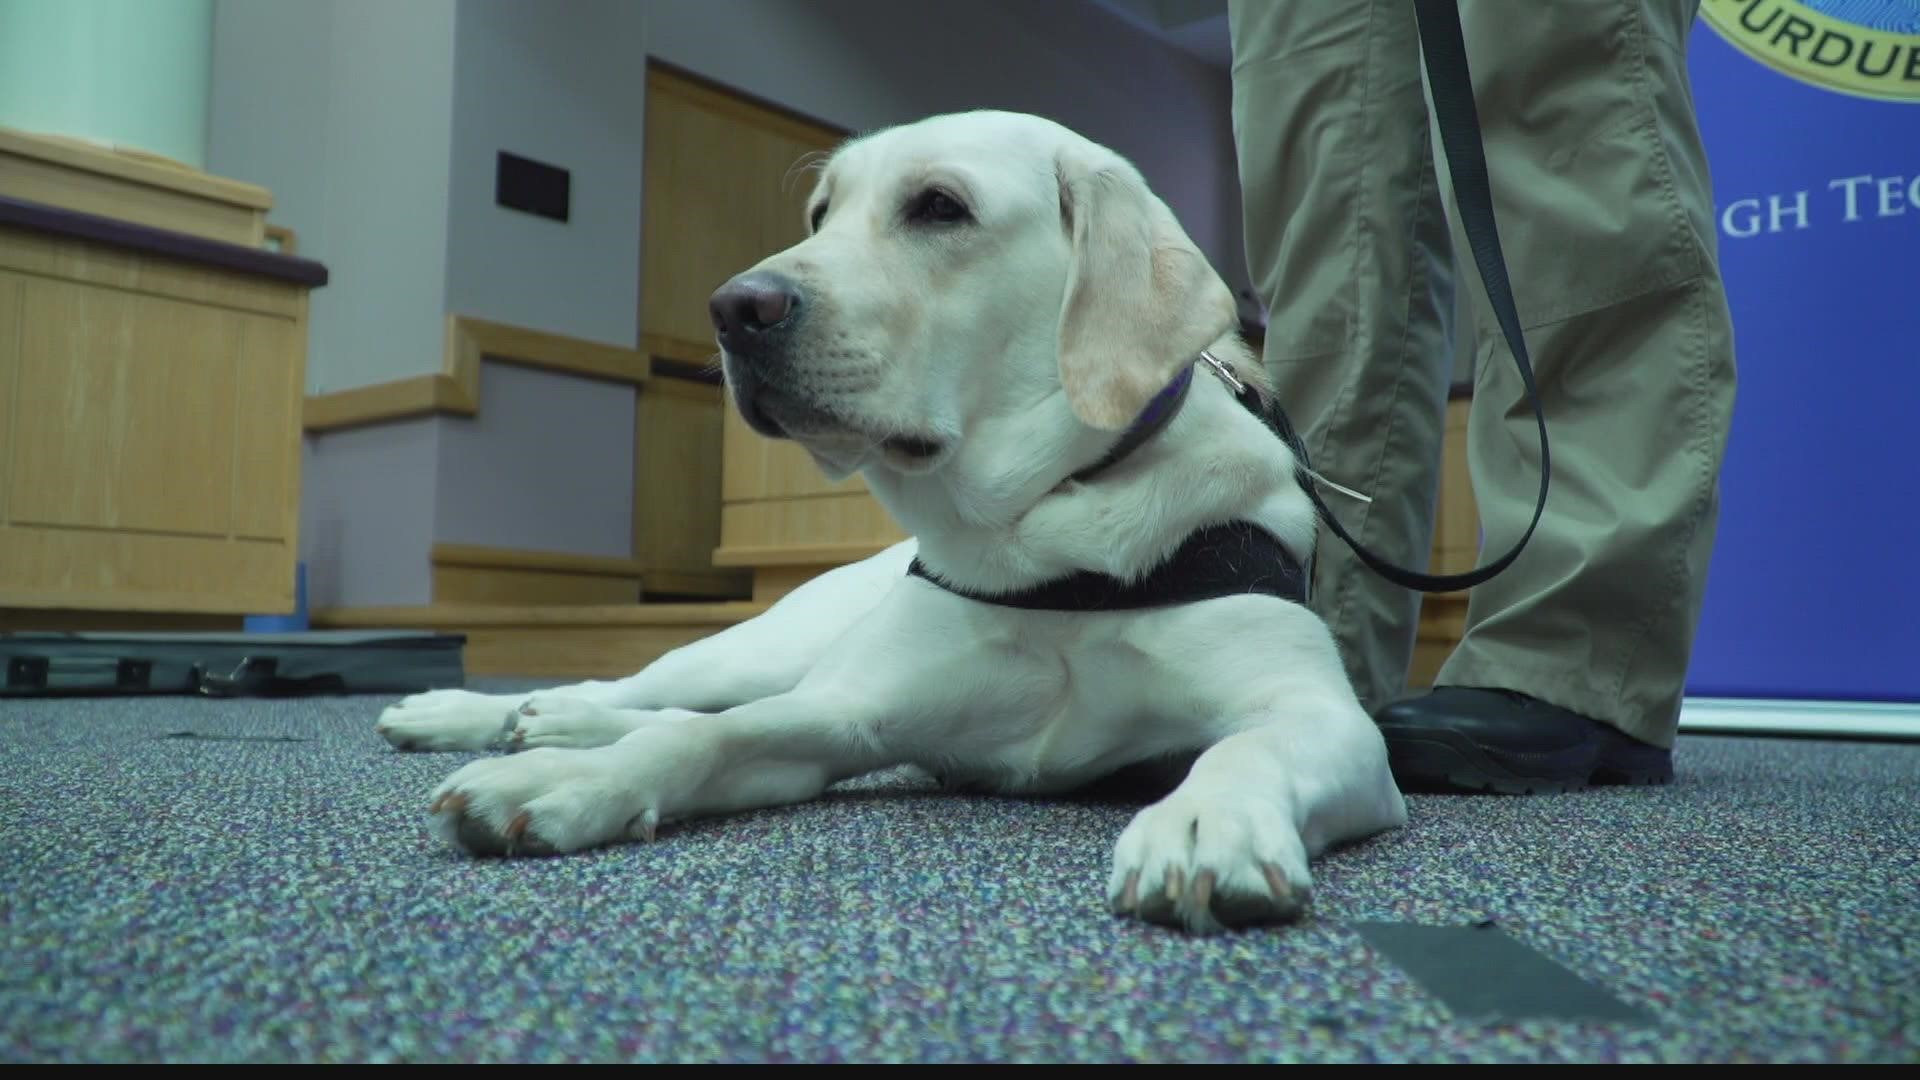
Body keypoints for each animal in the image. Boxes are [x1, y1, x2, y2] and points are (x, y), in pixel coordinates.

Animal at [374, 111, 1405, 933]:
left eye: (940, 207)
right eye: (820, 215)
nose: (732, 309)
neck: (1041, 526)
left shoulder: (1329, 720)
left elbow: (1248, 743)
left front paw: (1202, 820)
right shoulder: (845, 713)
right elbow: (697, 739)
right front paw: (565, 783)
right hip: (761, 649)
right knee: (648, 690)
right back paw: (485, 715)